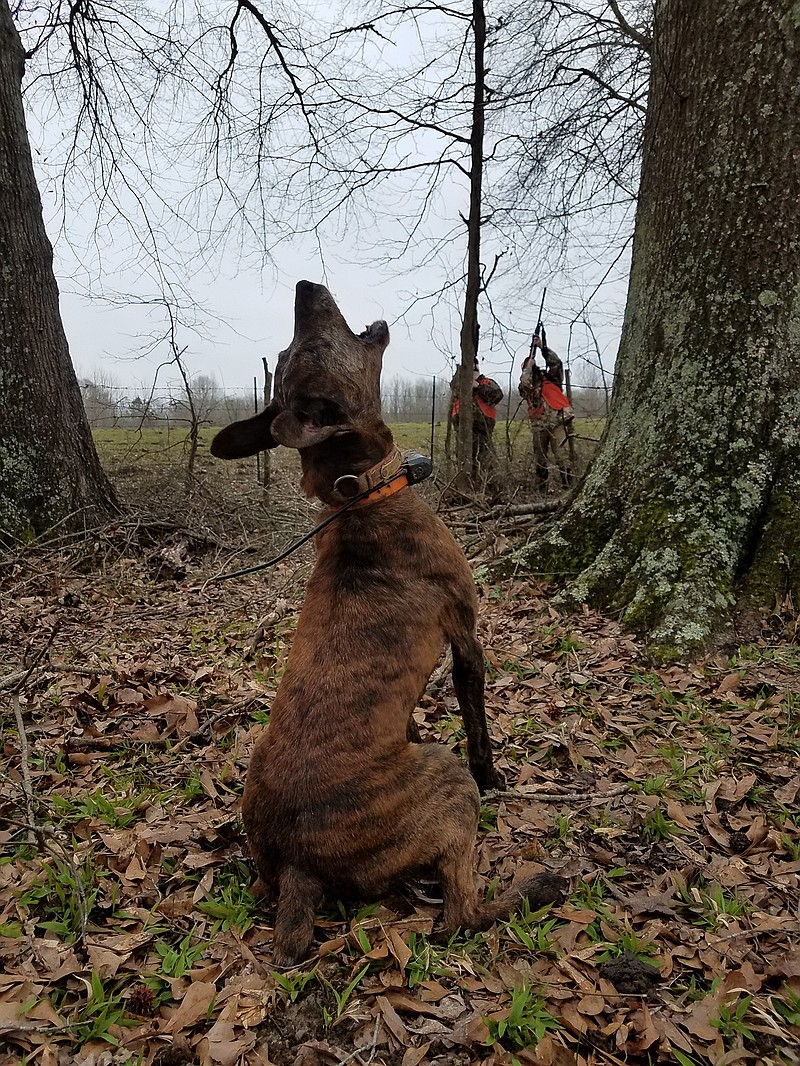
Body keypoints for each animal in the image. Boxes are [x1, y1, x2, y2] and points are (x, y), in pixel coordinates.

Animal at [213, 283, 563, 967]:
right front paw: (496, 775)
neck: (362, 496)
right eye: (309, 349)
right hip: (444, 778)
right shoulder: (465, 636)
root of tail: (297, 866)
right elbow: (478, 724)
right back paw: (536, 888)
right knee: (458, 916)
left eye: (291, 351)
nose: (304, 287)